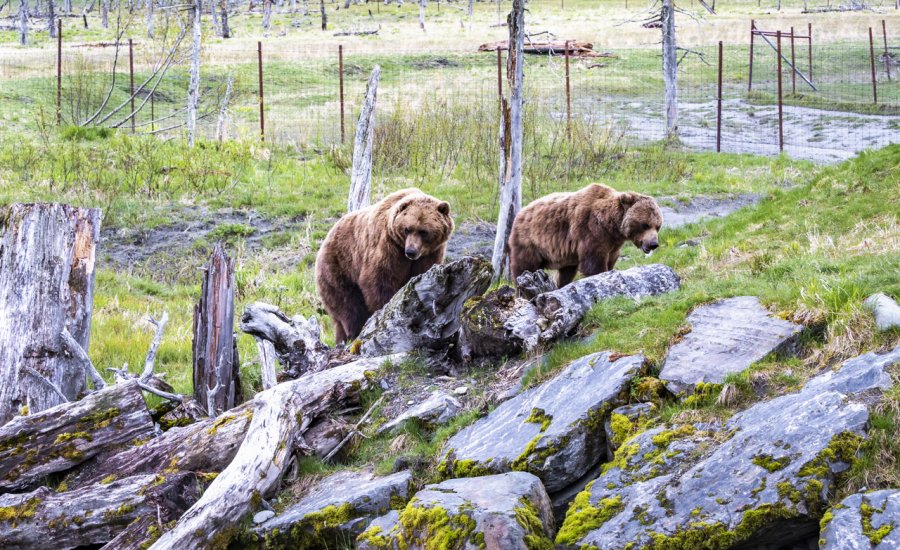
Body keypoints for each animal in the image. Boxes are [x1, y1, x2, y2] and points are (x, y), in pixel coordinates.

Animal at [318, 190, 458, 344]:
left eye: (423, 231)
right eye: (407, 229)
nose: (411, 251)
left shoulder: (431, 254)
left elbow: (423, 272)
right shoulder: (388, 246)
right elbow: (380, 279)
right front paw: (385, 306)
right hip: (339, 266)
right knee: (347, 304)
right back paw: (353, 332)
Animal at [510, 185, 664, 288]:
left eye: (658, 226)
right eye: (645, 224)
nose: (653, 244)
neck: (611, 226)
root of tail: (521, 212)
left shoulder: (613, 244)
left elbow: (610, 260)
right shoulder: (590, 230)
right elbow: (594, 262)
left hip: (566, 257)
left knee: (566, 272)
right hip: (530, 241)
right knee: (524, 267)